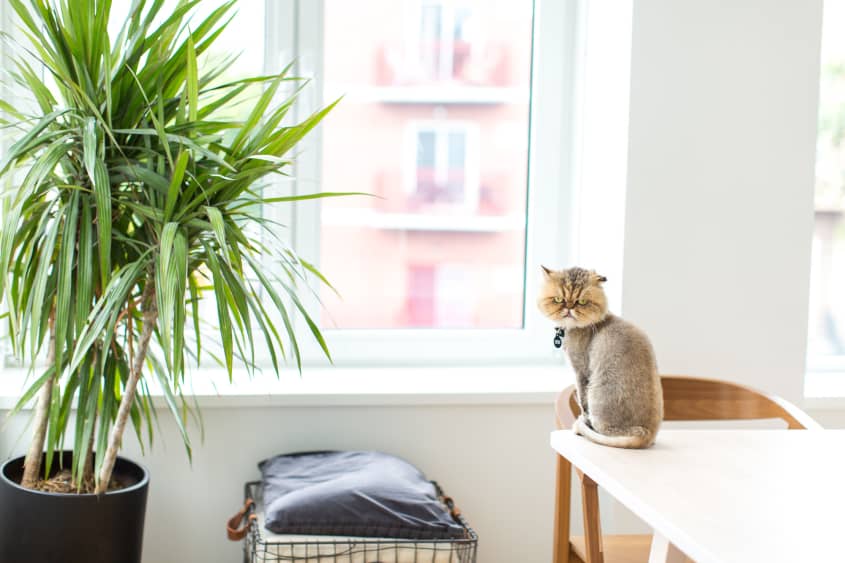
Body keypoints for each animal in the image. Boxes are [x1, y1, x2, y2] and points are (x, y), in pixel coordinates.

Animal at [536, 268, 664, 450]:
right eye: (559, 299)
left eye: (581, 301)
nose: (569, 307)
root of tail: (648, 434)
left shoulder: (581, 371)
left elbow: (582, 403)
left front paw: (583, 420)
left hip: (597, 393)